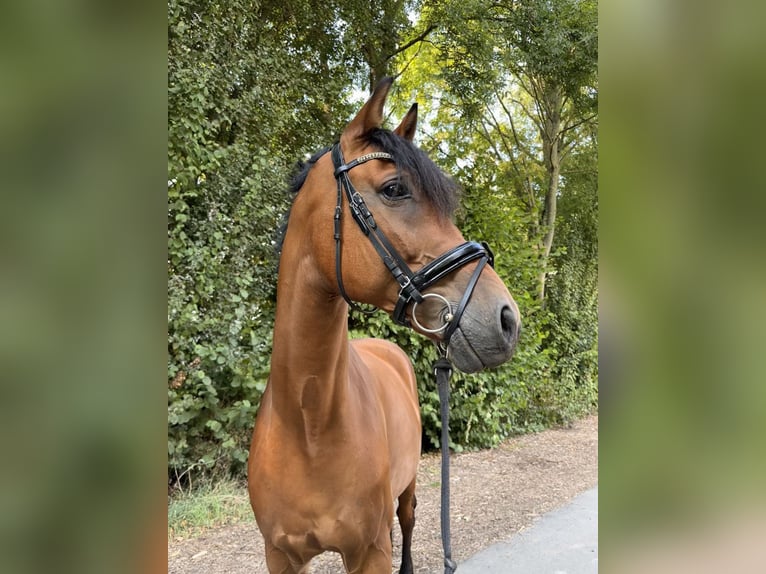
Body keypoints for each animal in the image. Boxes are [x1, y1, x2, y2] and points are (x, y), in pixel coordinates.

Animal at [249, 77, 520, 574]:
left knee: (407, 523)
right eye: (394, 189)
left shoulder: (368, 552)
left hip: (407, 487)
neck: (308, 424)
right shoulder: (280, 555)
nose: (507, 320)